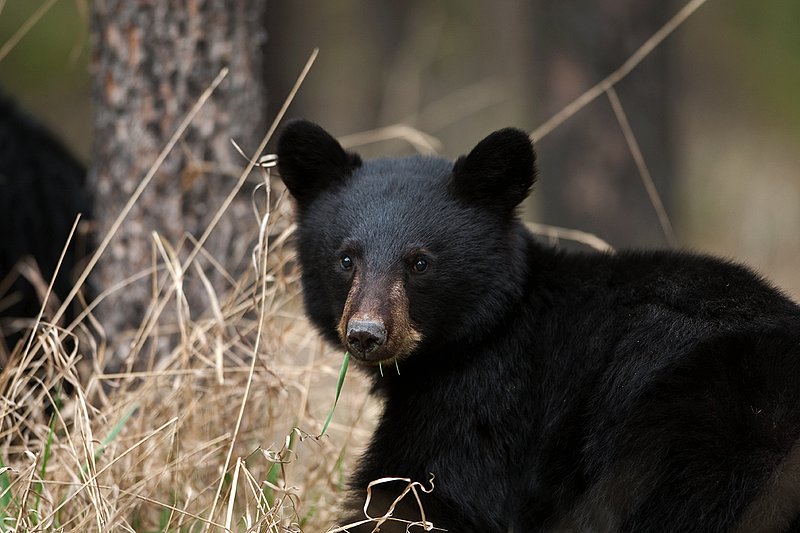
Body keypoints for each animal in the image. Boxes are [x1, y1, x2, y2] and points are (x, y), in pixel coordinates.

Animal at [276, 119, 800, 532]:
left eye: (420, 262)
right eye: (346, 259)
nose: (366, 334)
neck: (485, 327)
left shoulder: (487, 399)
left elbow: (425, 492)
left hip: (689, 430)